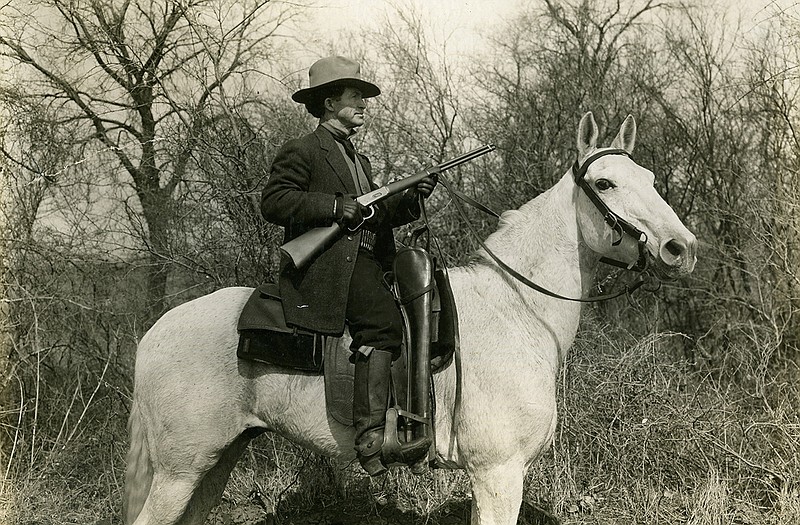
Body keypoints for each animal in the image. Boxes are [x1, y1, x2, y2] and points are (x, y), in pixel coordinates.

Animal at [122, 113, 696, 524]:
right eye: (606, 183)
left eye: (648, 178)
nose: (681, 248)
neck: (517, 308)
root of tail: (153, 334)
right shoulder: (499, 474)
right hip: (180, 471)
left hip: (214, 463)